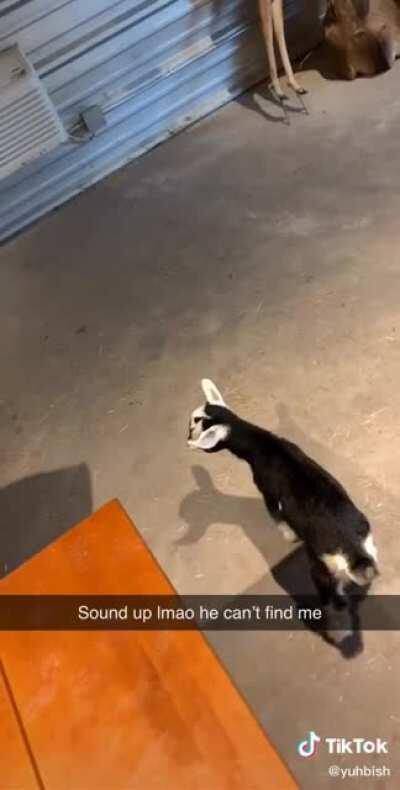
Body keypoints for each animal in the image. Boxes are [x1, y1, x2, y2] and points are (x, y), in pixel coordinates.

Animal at [187, 379, 379, 639]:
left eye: (195, 425)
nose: (186, 434)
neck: (262, 445)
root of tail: (353, 551)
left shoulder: (268, 492)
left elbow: (277, 518)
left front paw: (289, 537)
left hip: (322, 570)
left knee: (334, 602)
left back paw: (338, 631)